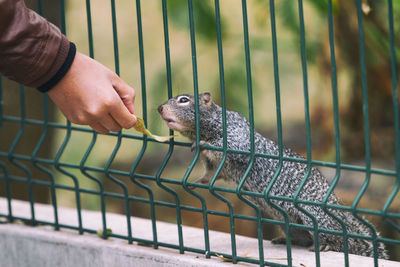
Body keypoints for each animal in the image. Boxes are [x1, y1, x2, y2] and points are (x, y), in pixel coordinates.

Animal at [158, 92, 390, 260]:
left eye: (183, 100)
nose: (159, 108)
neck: (209, 126)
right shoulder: (216, 166)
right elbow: (211, 172)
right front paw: (200, 181)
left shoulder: (238, 138)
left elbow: (230, 148)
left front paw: (204, 145)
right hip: (290, 224)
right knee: (306, 239)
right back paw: (286, 241)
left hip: (315, 216)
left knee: (339, 241)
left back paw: (327, 245)